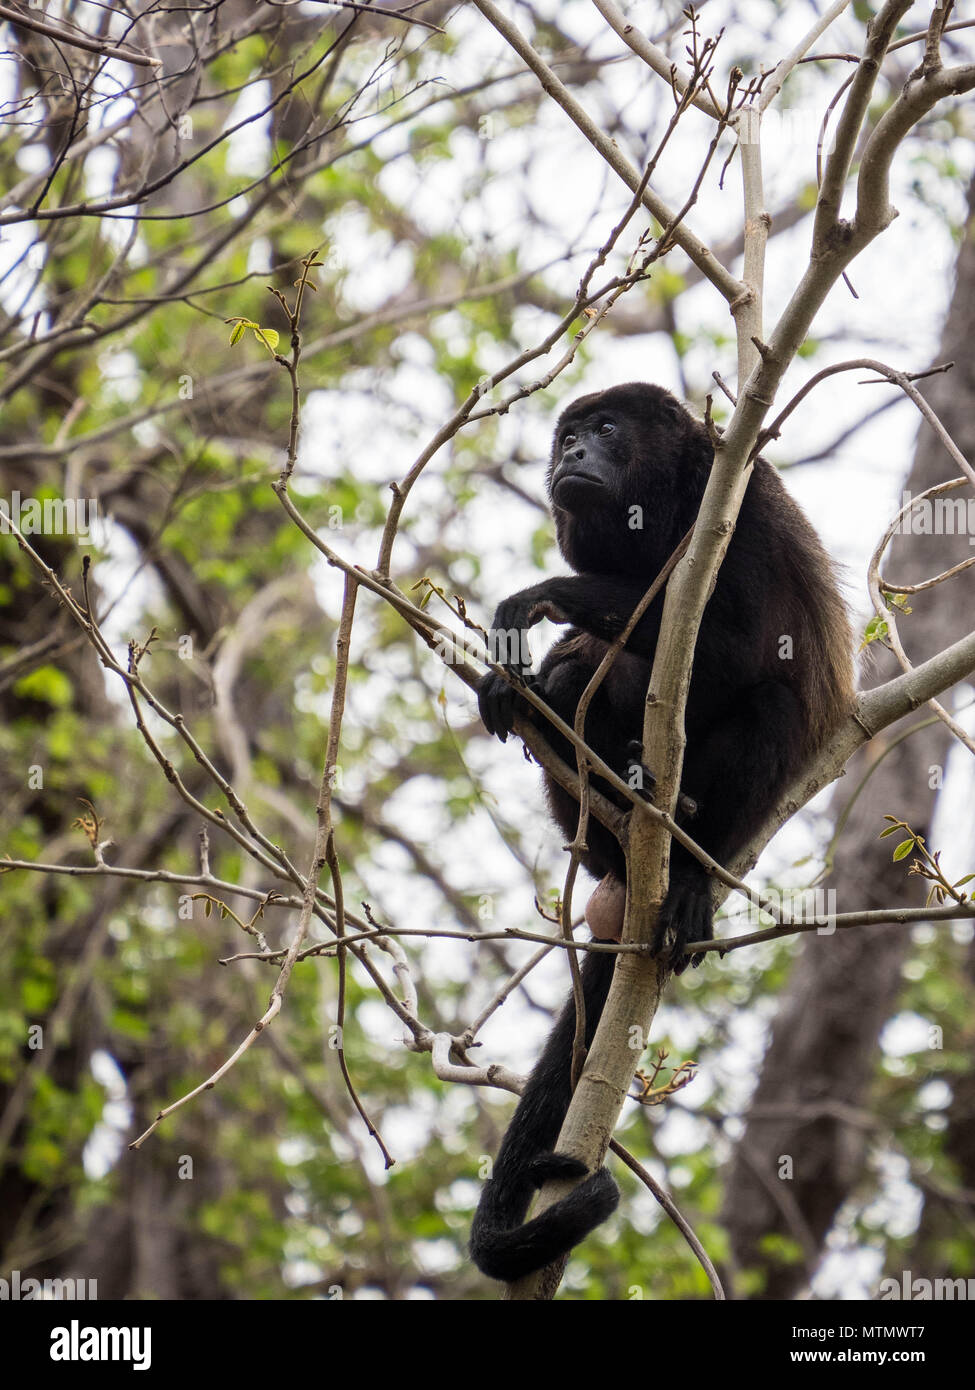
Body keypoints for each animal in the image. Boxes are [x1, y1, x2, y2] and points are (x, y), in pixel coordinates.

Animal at [472, 380, 851, 1278]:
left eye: (605, 430)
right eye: (567, 436)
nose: (571, 455)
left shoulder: (739, 503)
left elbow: (741, 647)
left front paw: (543, 598)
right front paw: (520, 672)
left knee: (764, 698)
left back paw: (686, 871)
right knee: (585, 686)